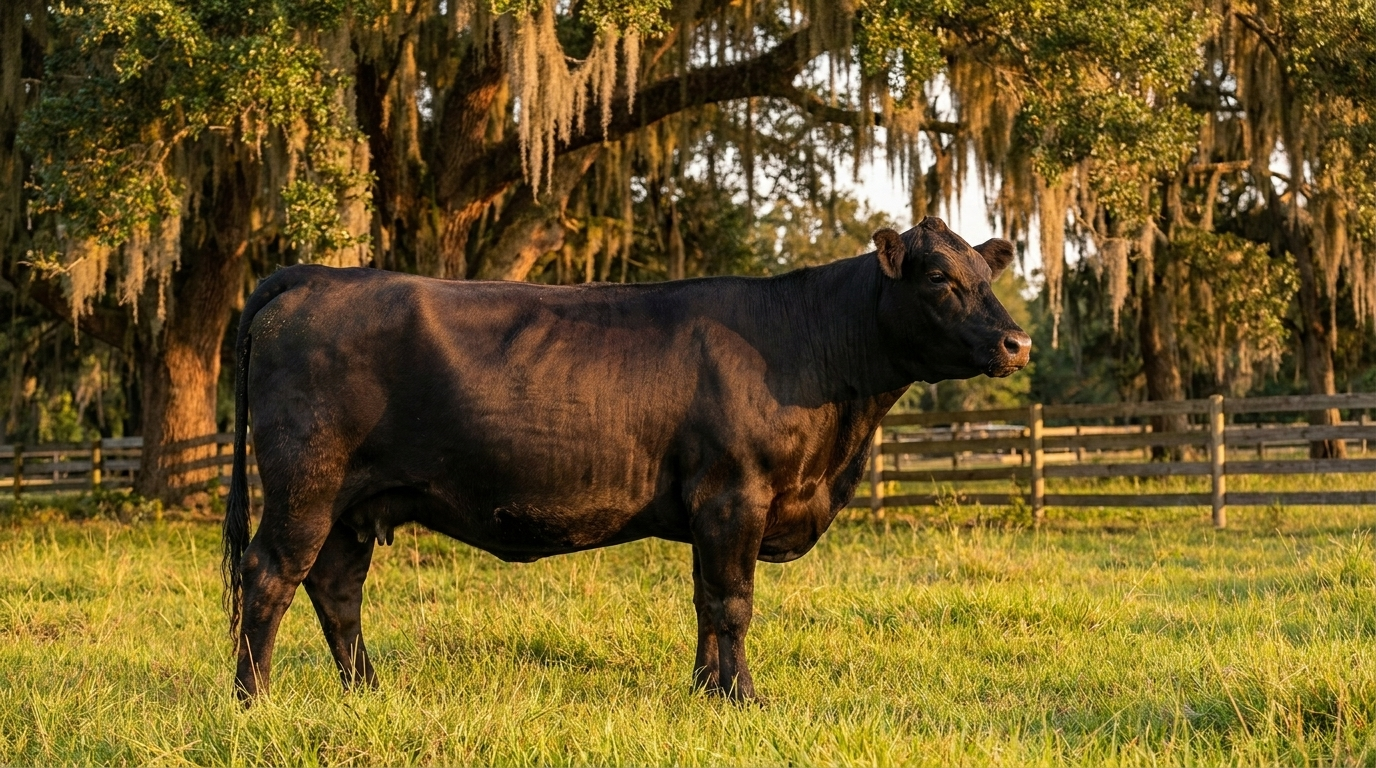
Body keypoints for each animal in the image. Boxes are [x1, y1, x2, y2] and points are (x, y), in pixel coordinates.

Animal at [221, 216, 1030, 702]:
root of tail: (317, 274)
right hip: (305, 482)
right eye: (939, 278)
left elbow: (705, 601)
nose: (1018, 342)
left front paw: (706, 691)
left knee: (335, 588)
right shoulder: (734, 495)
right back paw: (253, 701)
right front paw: (743, 697)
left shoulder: (713, 509)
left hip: (354, 503)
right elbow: (733, 602)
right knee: (270, 576)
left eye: (987, 277)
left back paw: (368, 690)